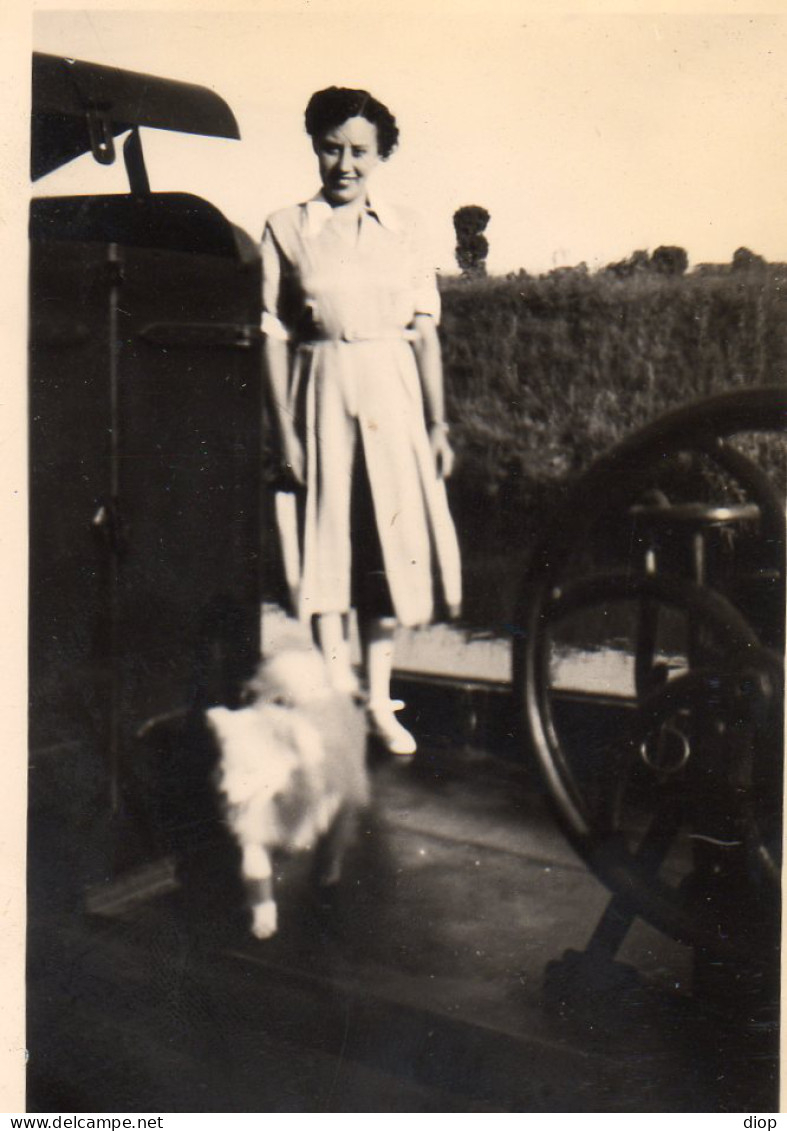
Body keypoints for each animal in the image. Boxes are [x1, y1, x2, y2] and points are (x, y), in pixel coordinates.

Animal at [208, 646, 370, 936]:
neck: (279, 798)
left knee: (336, 838)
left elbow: (320, 836)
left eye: (251, 772)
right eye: (224, 770)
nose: (222, 795)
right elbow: (258, 873)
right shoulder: (254, 829)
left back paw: (329, 871)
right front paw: (263, 918)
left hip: (347, 797)